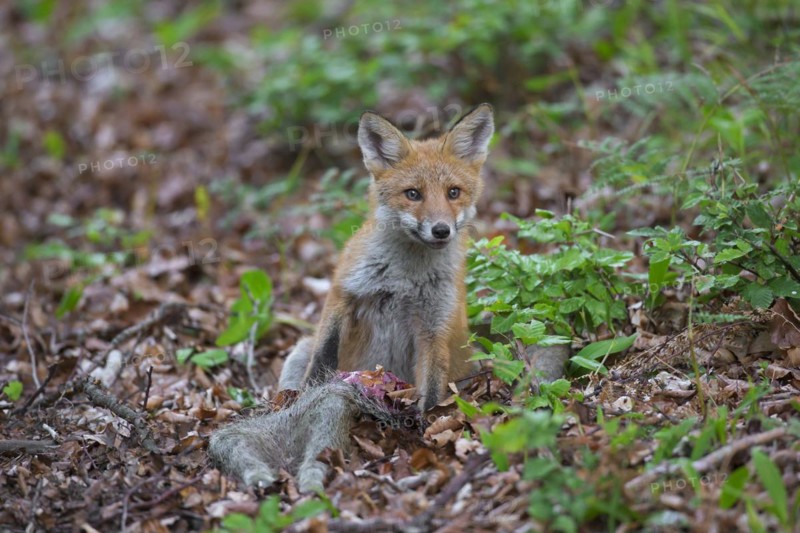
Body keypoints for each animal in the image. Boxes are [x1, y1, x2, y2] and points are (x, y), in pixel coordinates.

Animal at [280, 103, 495, 410]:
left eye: (453, 192)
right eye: (413, 194)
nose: (441, 230)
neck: (404, 277)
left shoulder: (434, 326)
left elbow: (431, 388)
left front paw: (424, 420)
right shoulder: (343, 290)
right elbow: (323, 353)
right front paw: (312, 390)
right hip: (299, 350)